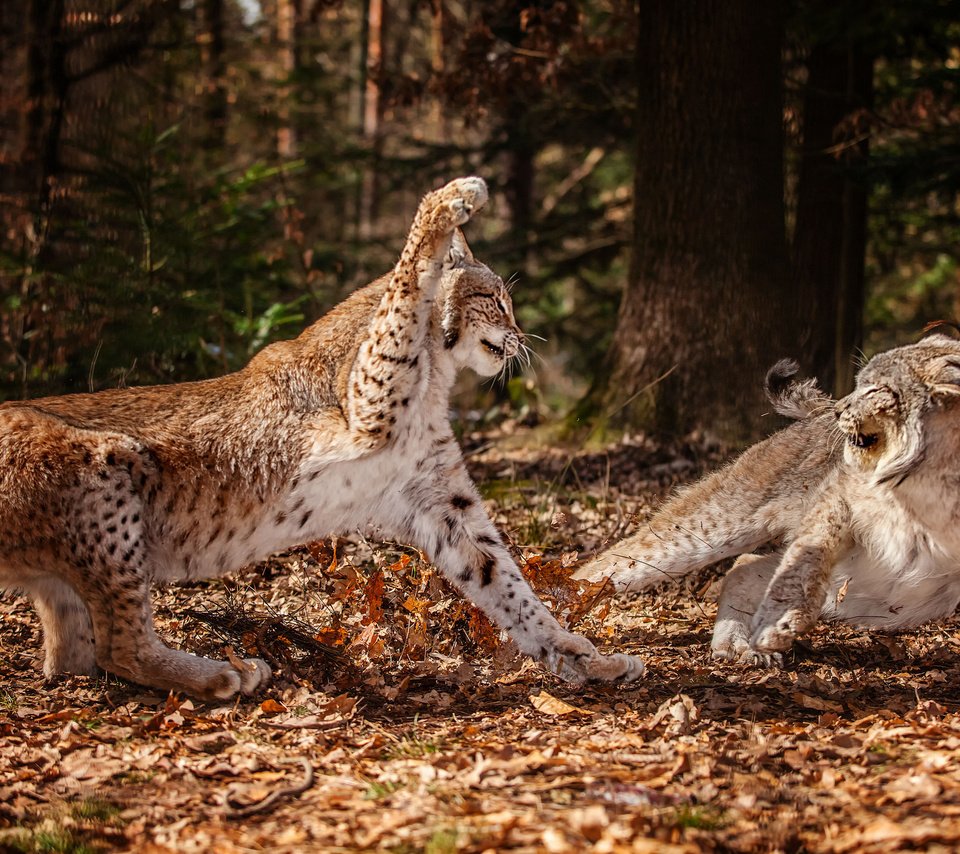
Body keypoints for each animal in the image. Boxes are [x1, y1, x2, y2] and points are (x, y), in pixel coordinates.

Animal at [3, 177, 644, 700]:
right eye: (498, 301)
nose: (520, 340)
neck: (441, 369)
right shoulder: (367, 402)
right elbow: (406, 281)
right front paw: (453, 198)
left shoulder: (439, 499)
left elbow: (508, 584)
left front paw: (583, 658)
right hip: (109, 466)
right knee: (119, 645)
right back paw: (221, 675)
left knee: (74, 657)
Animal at [572, 338, 960, 664]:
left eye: (876, 388)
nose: (841, 411)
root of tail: (817, 416)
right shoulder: (837, 496)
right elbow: (806, 565)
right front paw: (781, 620)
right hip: (716, 523)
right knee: (605, 563)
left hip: (880, 586)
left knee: (744, 565)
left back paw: (733, 642)